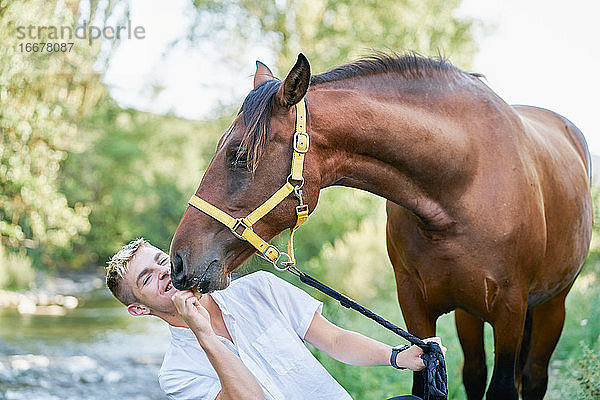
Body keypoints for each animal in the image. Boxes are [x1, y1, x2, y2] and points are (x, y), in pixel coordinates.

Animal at [169, 54, 592, 400]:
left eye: (240, 156)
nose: (178, 262)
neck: (463, 183)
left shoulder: (510, 310)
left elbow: (504, 388)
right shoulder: (415, 308)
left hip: (552, 306)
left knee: (533, 378)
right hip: (470, 315)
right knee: (474, 374)